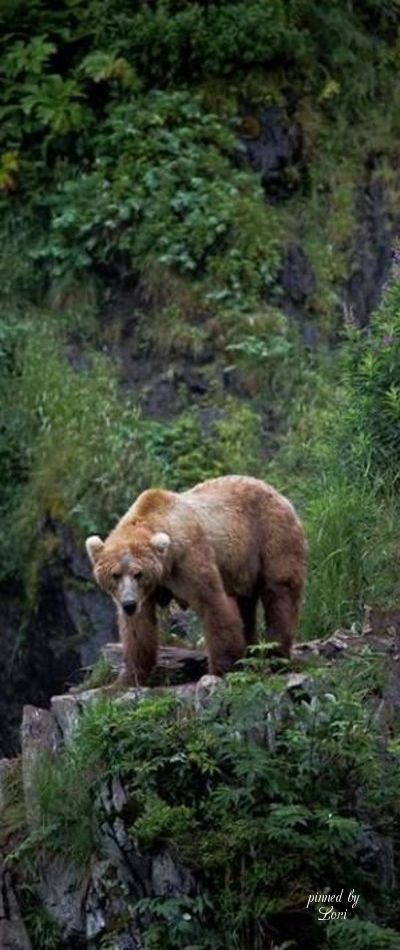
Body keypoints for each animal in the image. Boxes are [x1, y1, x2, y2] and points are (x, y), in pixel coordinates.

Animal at [86, 476, 306, 684]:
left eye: (138, 573)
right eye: (115, 575)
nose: (129, 604)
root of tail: (277, 493)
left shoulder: (189, 558)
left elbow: (212, 603)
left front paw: (221, 669)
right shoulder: (145, 594)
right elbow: (138, 629)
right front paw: (127, 678)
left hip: (270, 536)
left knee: (279, 593)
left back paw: (276, 656)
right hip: (242, 565)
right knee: (246, 605)